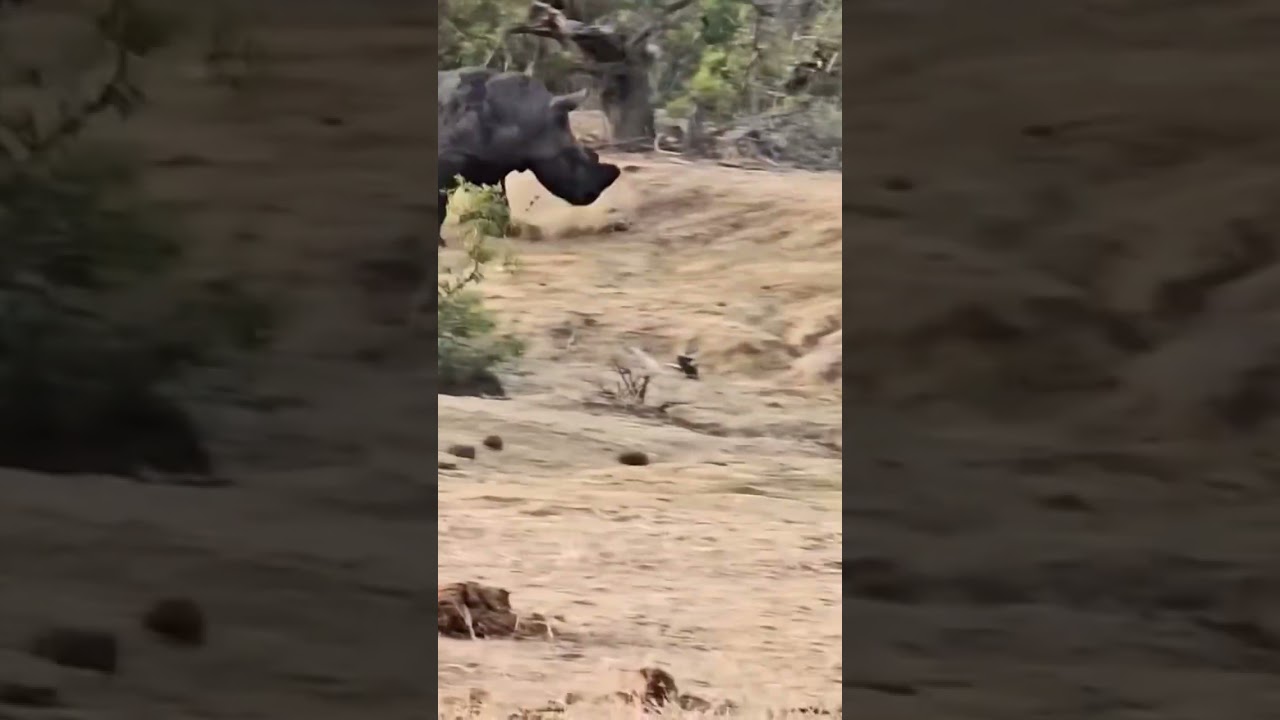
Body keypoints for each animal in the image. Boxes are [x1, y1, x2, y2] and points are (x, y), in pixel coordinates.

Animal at [437, 68, 621, 245]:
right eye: (571, 157)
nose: (592, 196)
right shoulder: (449, 158)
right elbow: (440, 203)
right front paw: (440, 243)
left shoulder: (493, 163)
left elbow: (499, 201)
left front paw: (504, 233)